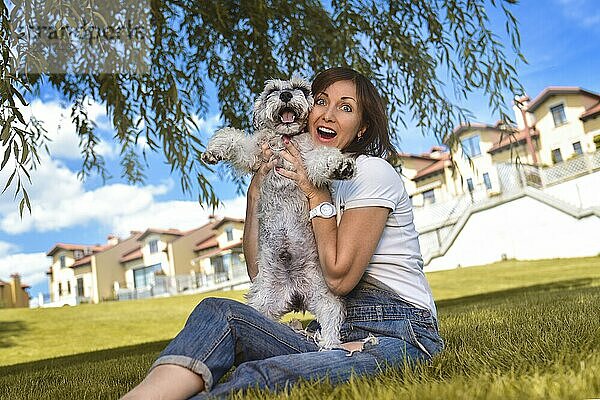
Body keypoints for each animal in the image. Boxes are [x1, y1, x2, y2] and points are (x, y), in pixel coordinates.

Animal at [203, 76, 352, 346]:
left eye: (300, 88)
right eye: (272, 90)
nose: (285, 95)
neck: (286, 139)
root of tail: (295, 293)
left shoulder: (308, 159)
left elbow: (323, 157)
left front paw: (341, 165)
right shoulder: (255, 153)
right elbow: (233, 138)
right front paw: (213, 151)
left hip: (327, 300)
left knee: (331, 327)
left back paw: (329, 345)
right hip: (263, 303)